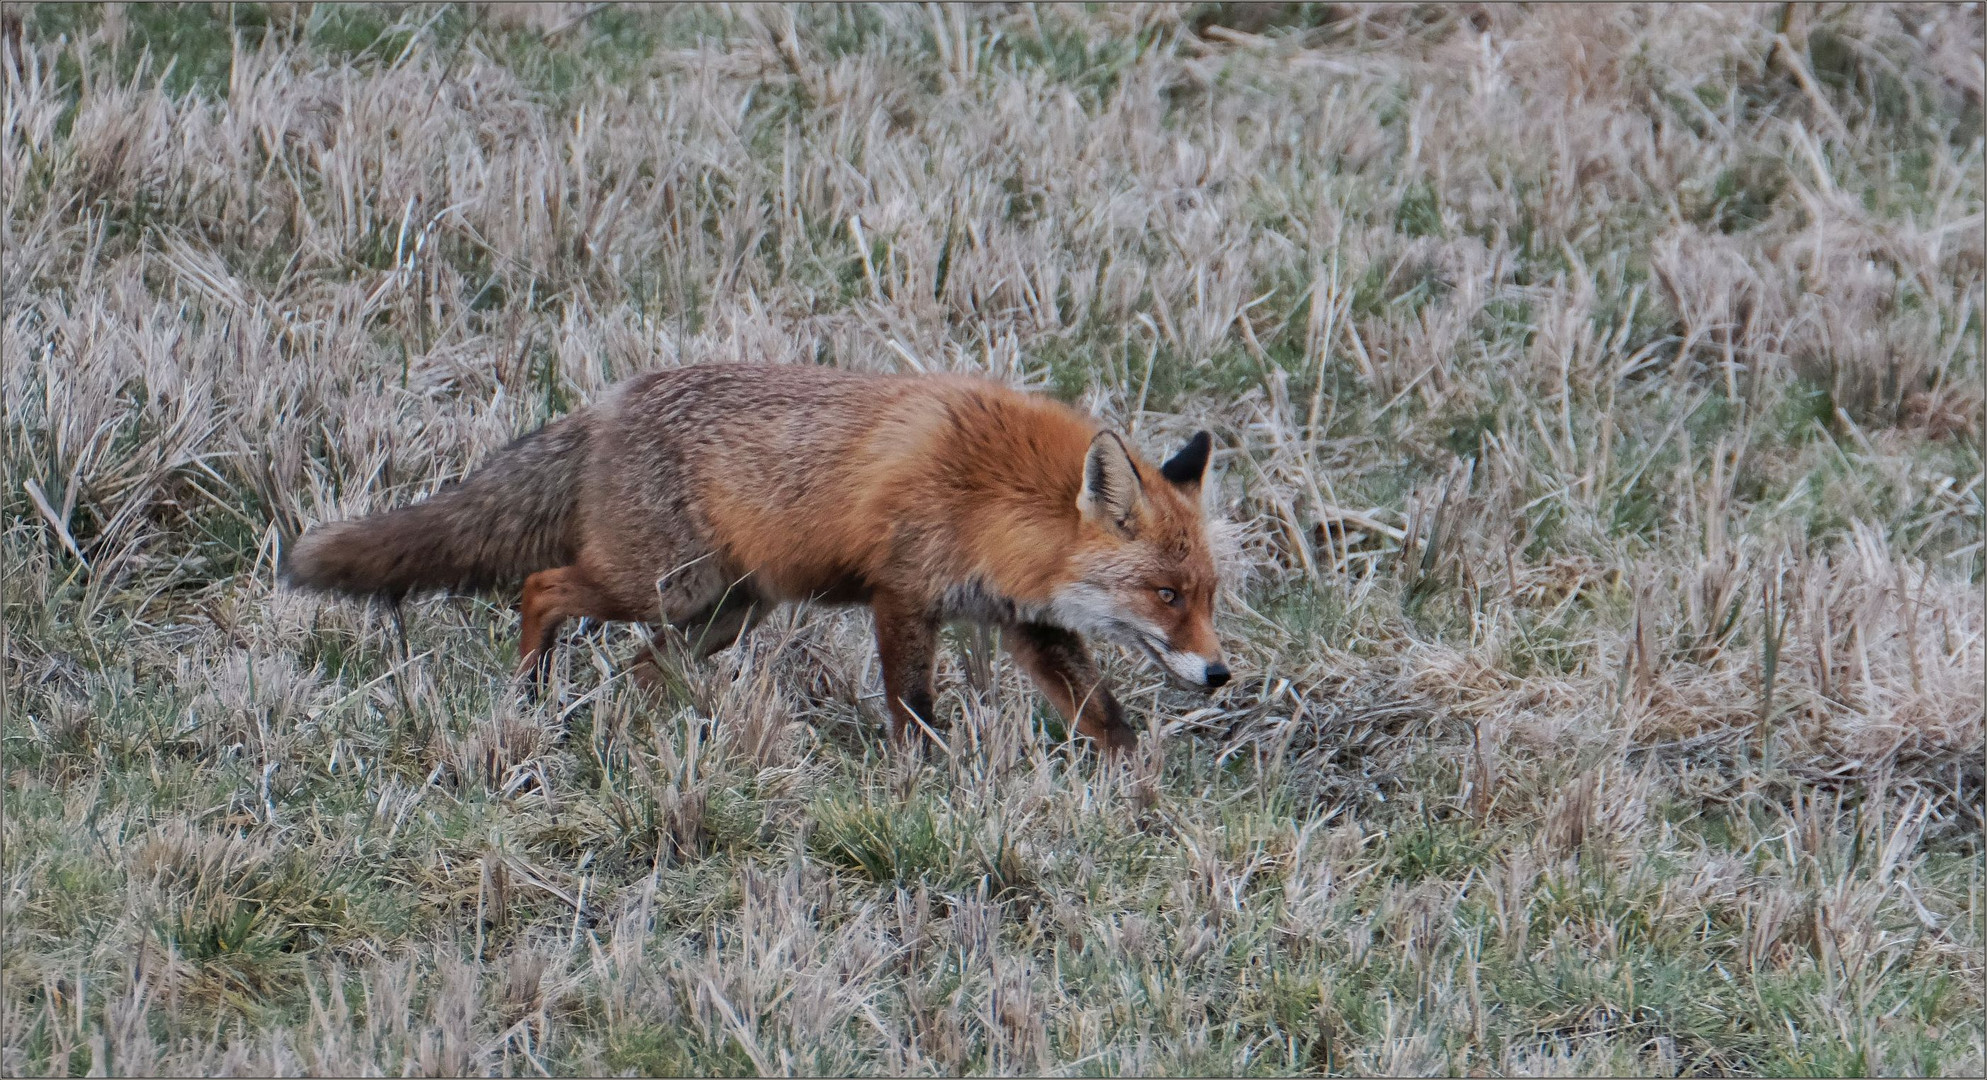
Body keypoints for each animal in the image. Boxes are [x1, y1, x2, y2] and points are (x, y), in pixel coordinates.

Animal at [282, 363, 1223, 750]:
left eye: (1205, 595)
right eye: (1166, 595)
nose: (1220, 675)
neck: (995, 498)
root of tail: (608, 403)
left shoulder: (1028, 623)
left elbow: (1105, 717)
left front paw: (1140, 793)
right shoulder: (901, 597)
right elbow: (914, 709)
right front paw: (925, 781)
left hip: (722, 615)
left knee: (640, 674)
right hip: (660, 588)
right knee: (541, 587)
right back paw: (529, 694)